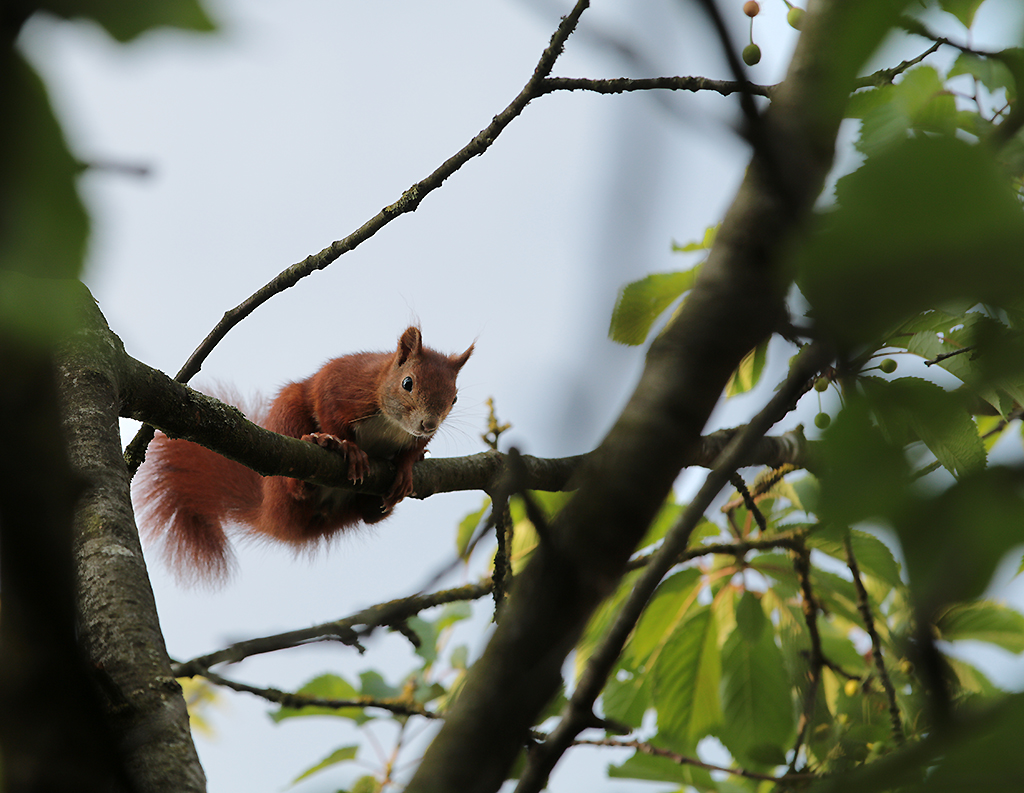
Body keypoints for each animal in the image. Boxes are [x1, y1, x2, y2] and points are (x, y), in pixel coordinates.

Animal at [134, 325, 473, 581]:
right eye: (407, 383)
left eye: (455, 398)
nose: (428, 424)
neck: (392, 423)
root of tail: (270, 513)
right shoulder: (343, 385)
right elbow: (329, 408)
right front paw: (347, 446)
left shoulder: (413, 437)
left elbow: (411, 450)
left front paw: (406, 466)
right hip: (288, 415)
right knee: (295, 485)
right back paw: (319, 452)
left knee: (368, 516)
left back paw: (379, 503)